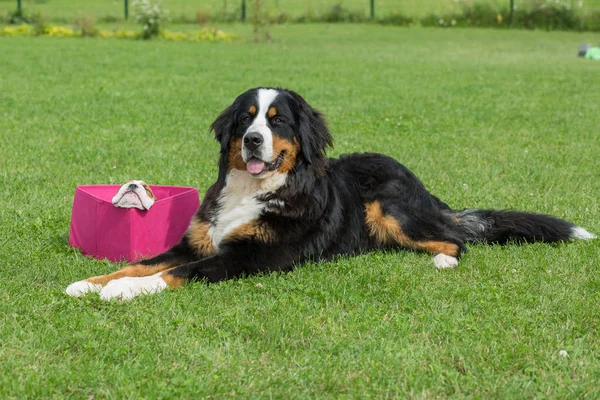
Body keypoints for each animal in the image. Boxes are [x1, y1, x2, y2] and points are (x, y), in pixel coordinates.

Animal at [67, 86, 596, 300]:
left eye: (277, 121)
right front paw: (90, 283)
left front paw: (121, 292)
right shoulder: (194, 242)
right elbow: (144, 260)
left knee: (457, 239)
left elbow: (172, 274)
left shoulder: (247, 257)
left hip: (387, 207)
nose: (252, 140)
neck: (254, 189)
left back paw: (443, 260)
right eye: (246, 119)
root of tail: (423, 185)